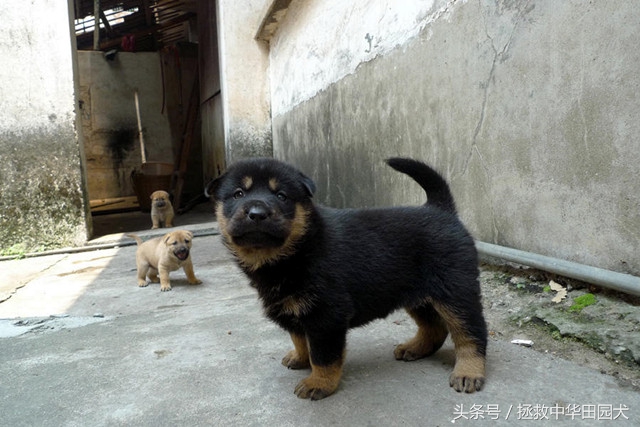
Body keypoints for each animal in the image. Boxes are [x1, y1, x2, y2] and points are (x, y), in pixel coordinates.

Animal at [208, 158, 488, 402]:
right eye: (238, 194)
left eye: (281, 196)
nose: (257, 213)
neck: (294, 250)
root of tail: (440, 209)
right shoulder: (293, 306)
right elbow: (299, 338)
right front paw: (300, 358)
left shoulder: (326, 315)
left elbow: (323, 356)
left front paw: (319, 383)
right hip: (417, 295)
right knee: (435, 327)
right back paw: (416, 348)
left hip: (455, 291)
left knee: (470, 331)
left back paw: (469, 371)